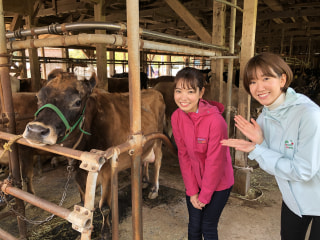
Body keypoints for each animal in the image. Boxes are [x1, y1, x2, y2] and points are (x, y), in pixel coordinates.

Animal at [23, 71, 165, 238]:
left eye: (77, 102)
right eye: (37, 97)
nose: (36, 130)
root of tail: (153, 91)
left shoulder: (108, 169)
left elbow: (105, 207)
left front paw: (106, 232)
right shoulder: (78, 173)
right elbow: (85, 204)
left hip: (158, 139)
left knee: (157, 161)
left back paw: (154, 189)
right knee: (144, 160)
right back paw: (143, 181)